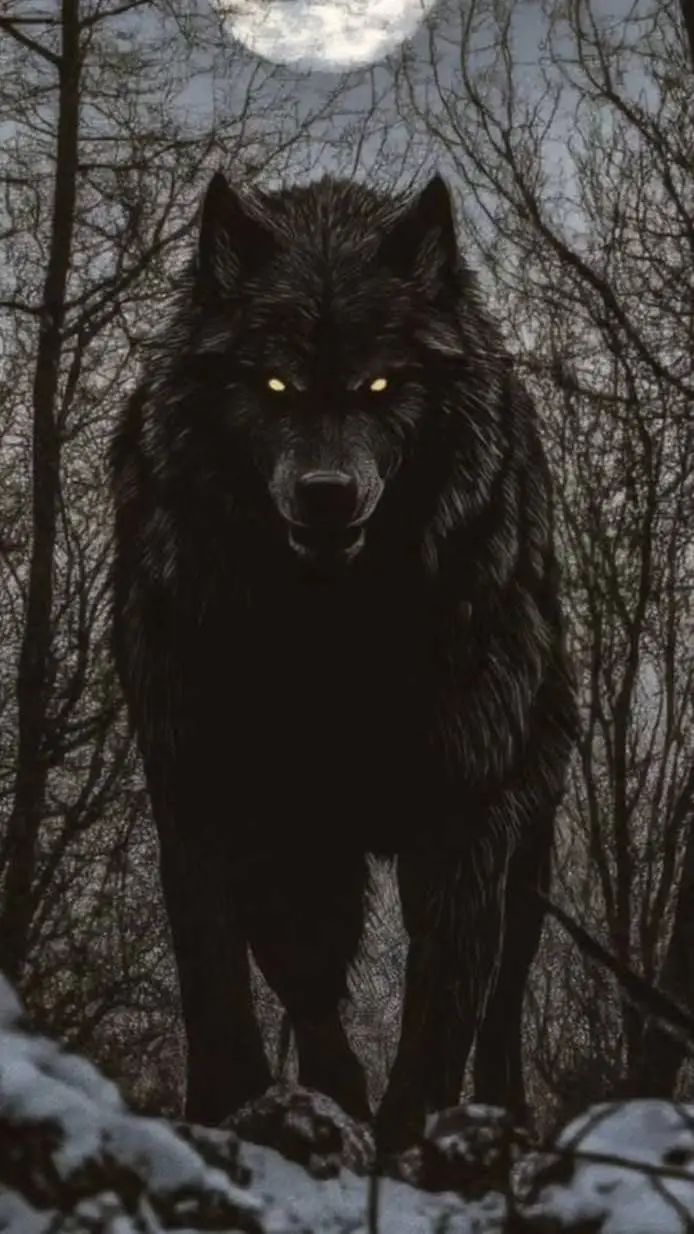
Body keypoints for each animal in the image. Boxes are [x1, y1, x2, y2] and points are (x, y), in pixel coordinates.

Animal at [109, 169, 577, 1149]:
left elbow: (445, 999)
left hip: (532, 838)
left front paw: (408, 1136)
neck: (331, 629)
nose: (327, 495)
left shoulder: (467, 810)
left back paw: (501, 1113)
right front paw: (243, 1111)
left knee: (505, 994)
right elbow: (228, 972)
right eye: (274, 382)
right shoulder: (212, 790)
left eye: (382, 383)